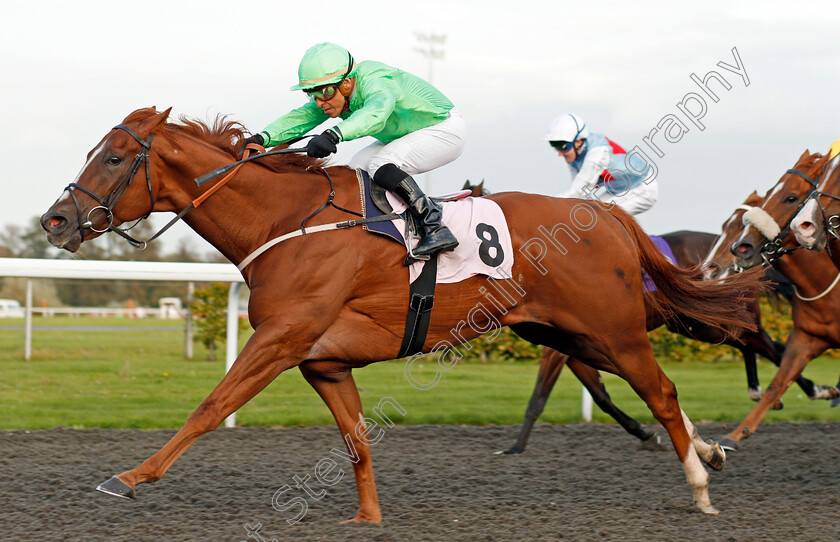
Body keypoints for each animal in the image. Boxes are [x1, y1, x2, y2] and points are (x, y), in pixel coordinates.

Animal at [41, 108, 760, 520]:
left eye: (112, 157)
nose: (56, 220)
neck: (287, 220)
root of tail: (606, 216)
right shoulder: (324, 362)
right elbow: (356, 440)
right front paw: (369, 518)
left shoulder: (281, 339)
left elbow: (210, 406)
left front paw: (129, 477)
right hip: (567, 332)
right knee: (652, 392)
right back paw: (710, 451)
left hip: (611, 327)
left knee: (661, 391)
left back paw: (700, 483)